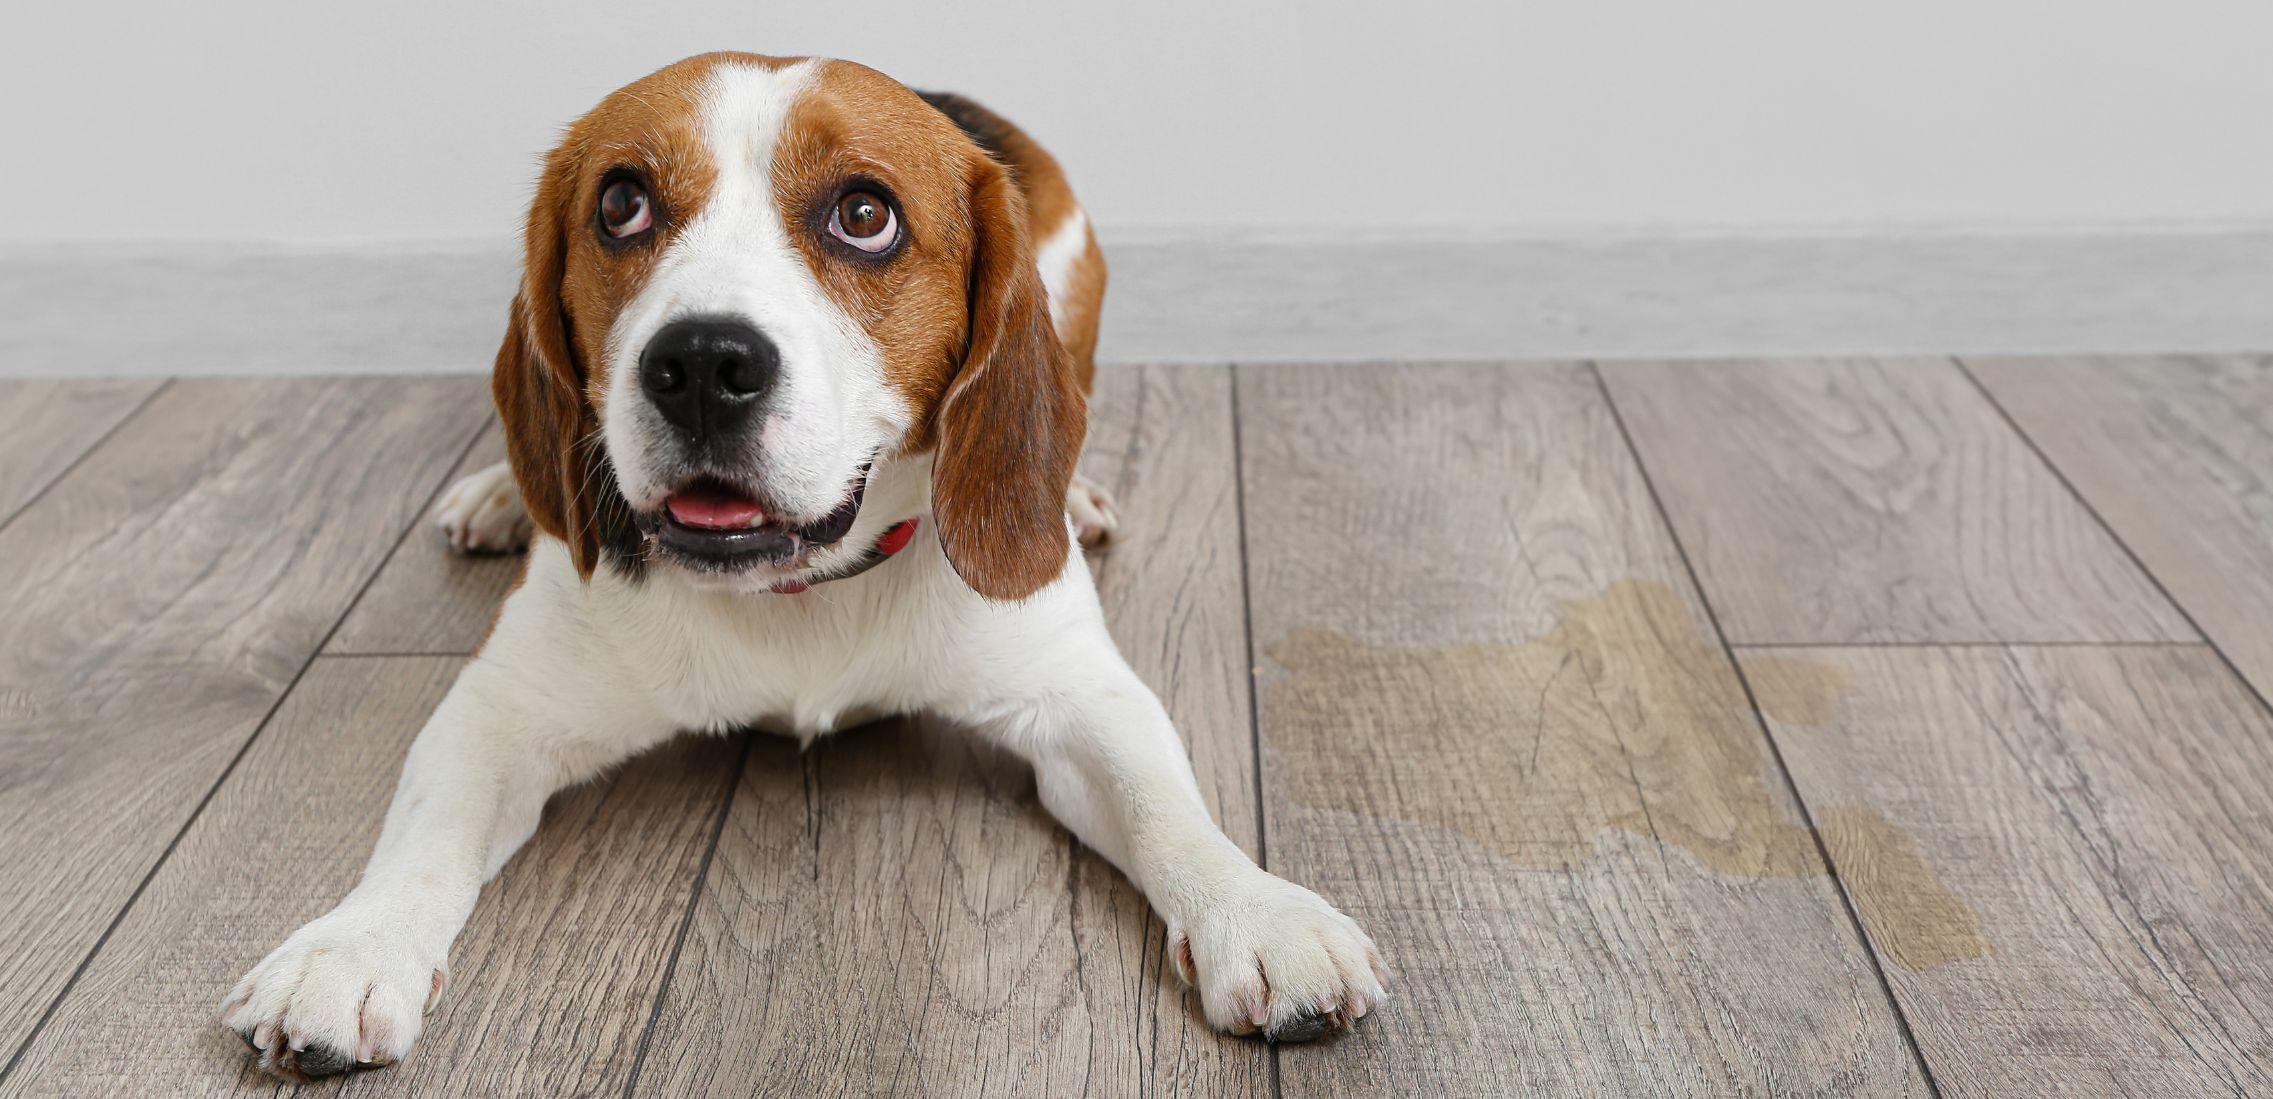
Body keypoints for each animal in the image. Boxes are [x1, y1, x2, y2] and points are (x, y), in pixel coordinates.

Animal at [221, 53, 1381, 1080]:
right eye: (621, 203)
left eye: (864, 215)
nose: (701, 365)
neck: (794, 594)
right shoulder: (500, 707)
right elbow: (422, 839)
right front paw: (351, 948)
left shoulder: (1080, 693)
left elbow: (1166, 808)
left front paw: (1259, 914)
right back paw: (505, 493)